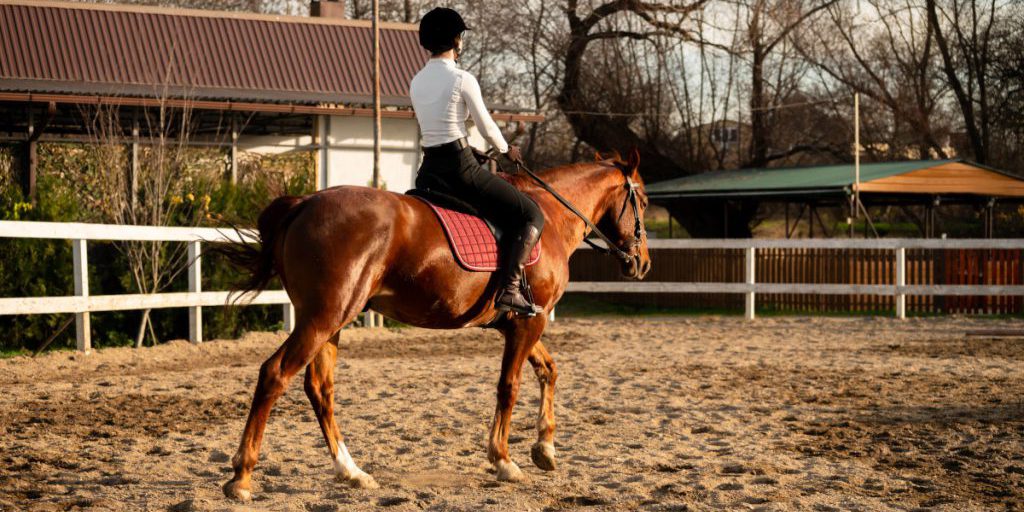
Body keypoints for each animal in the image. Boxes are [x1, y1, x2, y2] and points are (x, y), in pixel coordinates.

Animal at [216, 151, 652, 501]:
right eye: (644, 202)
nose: (642, 264)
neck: (552, 216)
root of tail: (304, 203)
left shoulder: (521, 321)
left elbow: (548, 370)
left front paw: (545, 449)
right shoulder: (532, 321)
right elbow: (509, 386)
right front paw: (504, 460)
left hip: (330, 321)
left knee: (320, 388)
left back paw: (352, 471)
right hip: (322, 318)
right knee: (274, 374)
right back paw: (242, 477)